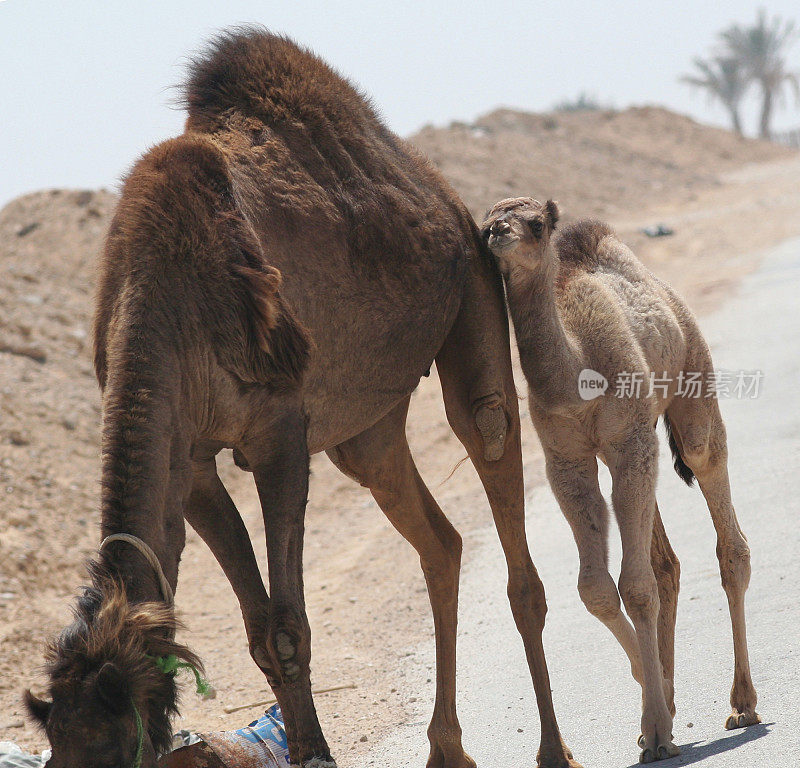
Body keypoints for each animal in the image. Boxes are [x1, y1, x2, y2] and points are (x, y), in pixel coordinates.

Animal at [25, 28, 580, 768]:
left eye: (115, 751)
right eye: (58, 749)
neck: (162, 298)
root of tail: (442, 194)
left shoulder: (277, 431)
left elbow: (286, 625)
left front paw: (313, 752)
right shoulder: (190, 454)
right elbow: (254, 622)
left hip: (476, 292)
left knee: (493, 446)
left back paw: (554, 746)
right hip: (366, 430)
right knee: (437, 537)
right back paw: (445, 747)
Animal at [478, 198, 760, 760]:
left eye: (534, 223)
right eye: (487, 219)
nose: (498, 231)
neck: (577, 376)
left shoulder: (628, 441)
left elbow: (636, 585)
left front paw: (657, 727)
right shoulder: (568, 460)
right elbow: (598, 588)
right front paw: (657, 713)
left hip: (691, 382)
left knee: (721, 513)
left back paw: (742, 703)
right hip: (640, 438)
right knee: (666, 564)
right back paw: (671, 695)